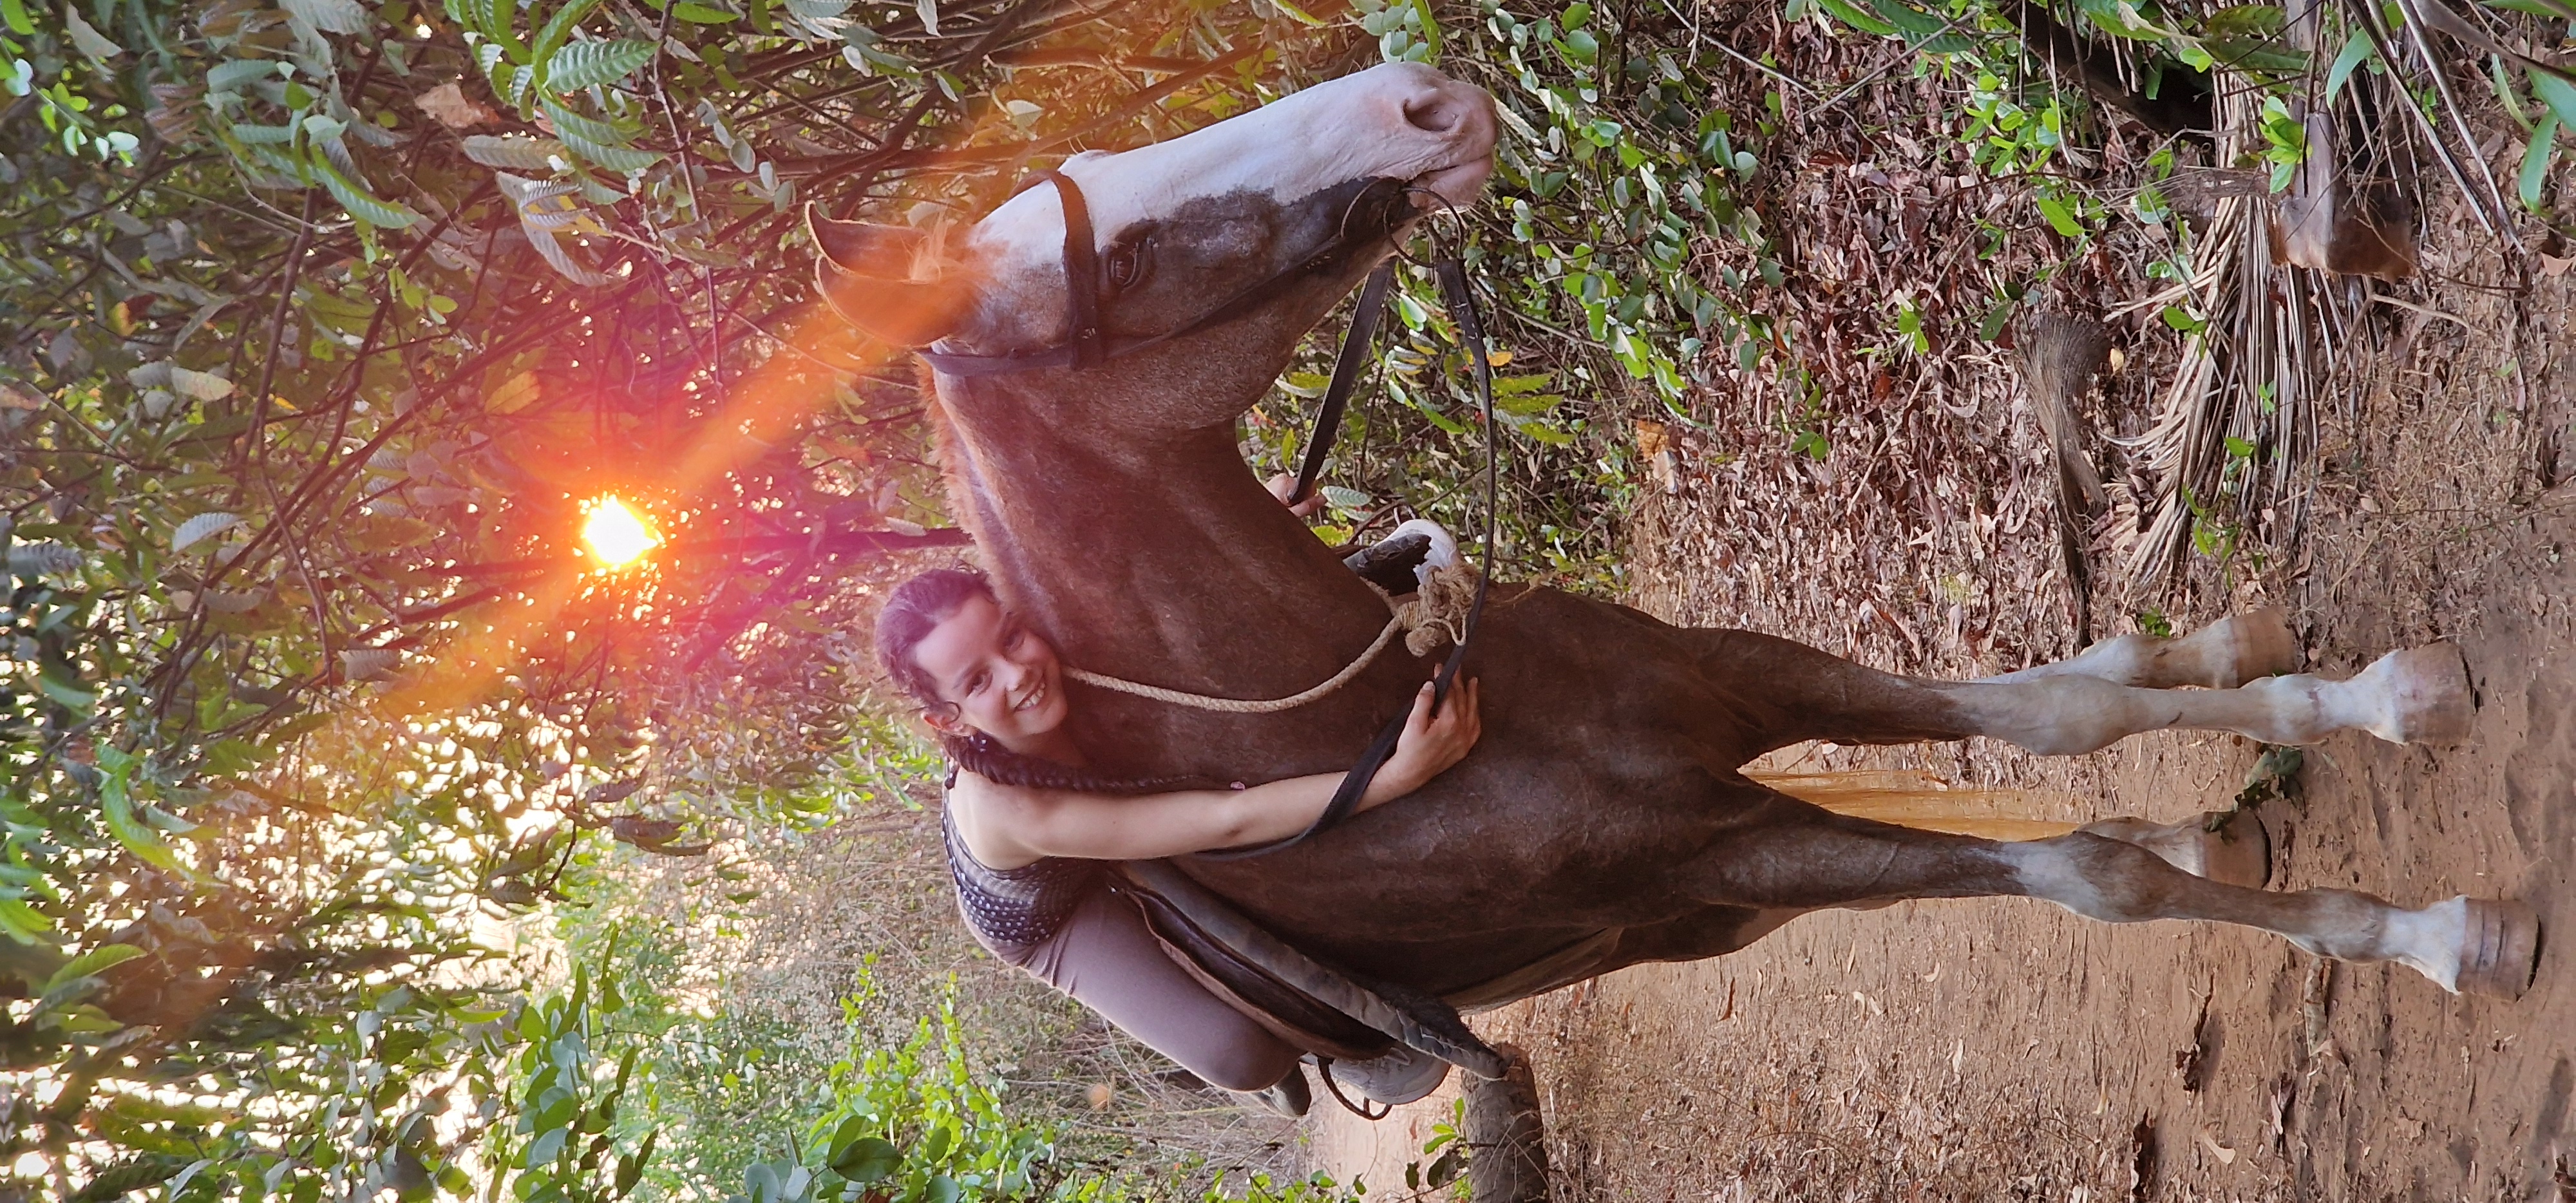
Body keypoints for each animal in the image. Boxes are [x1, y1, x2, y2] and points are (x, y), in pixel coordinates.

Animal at [806, 62, 2539, 1028]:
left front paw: (2386, 696)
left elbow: (2048, 710)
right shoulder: (1710, 844)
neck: (1348, 698)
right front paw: (2435, 934)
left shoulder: (1727, 681)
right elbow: (2090, 870)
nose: (1417, 100)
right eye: (1117, 255)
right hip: (1701, 908)